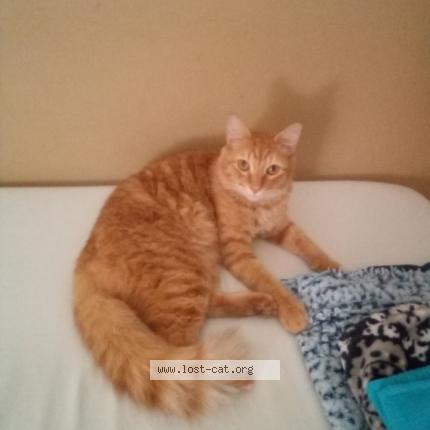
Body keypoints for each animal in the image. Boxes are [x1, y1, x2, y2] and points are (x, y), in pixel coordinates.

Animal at [74, 115, 339, 417]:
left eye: (272, 169)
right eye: (243, 165)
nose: (255, 187)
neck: (258, 207)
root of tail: (84, 261)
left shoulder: (281, 228)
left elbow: (308, 244)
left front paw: (330, 266)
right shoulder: (236, 251)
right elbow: (271, 282)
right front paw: (292, 308)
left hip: (197, 271)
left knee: (208, 308)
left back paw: (260, 305)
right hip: (183, 275)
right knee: (178, 360)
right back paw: (228, 372)